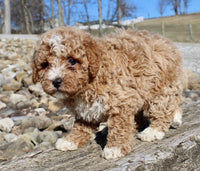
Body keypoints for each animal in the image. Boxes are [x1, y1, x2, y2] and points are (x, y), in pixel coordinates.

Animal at [32, 26, 184, 159]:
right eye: (45, 64)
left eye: (72, 61)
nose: (56, 81)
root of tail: (166, 41)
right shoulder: (85, 110)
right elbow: (81, 126)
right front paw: (71, 140)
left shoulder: (121, 101)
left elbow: (119, 126)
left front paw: (115, 148)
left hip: (161, 89)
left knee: (163, 110)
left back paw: (153, 131)